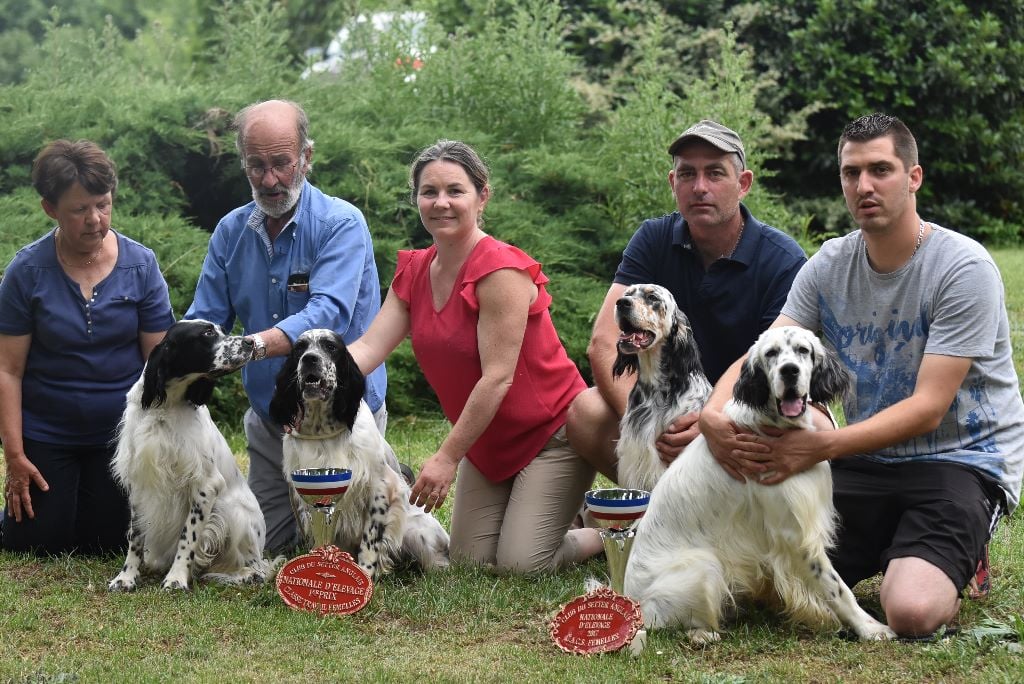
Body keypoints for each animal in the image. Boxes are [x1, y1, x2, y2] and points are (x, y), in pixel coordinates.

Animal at [110, 321, 274, 593]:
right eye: (207, 333)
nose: (250, 342)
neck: (166, 407)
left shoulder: (205, 485)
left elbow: (188, 537)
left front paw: (176, 578)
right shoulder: (139, 482)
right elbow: (136, 537)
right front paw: (126, 577)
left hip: (235, 515)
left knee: (259, 567)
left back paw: (246, 575)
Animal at [270, 327, 450, 581]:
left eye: (330, 347)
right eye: (299, 349)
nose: (310, 359)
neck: (322, 430)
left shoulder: (380, 487)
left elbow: (370, 540)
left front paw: (365, 574)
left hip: (416, 532)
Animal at [618, 327, 892, 643]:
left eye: (803, 350)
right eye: (771, 353)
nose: (789, 371)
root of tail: (633, 602)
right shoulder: (794, 533)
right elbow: (837, 587)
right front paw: (869, 627)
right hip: (701, 564)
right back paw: (705, 634)